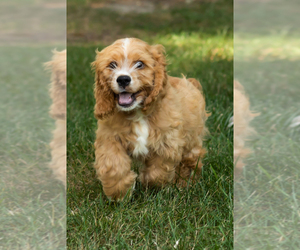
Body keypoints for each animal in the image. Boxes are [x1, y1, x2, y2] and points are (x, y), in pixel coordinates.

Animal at [91, 38, 209, 200]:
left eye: (140, 64)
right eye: (112, 64)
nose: (123, 79)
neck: (137, 112)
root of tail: (190, 82)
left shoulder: (167, 141)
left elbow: (157, 171)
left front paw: (152, 186)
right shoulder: (110, 137)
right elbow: (113, 166)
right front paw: (119, 193)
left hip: (192, 138)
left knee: (190, 161)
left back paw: (184, 184)